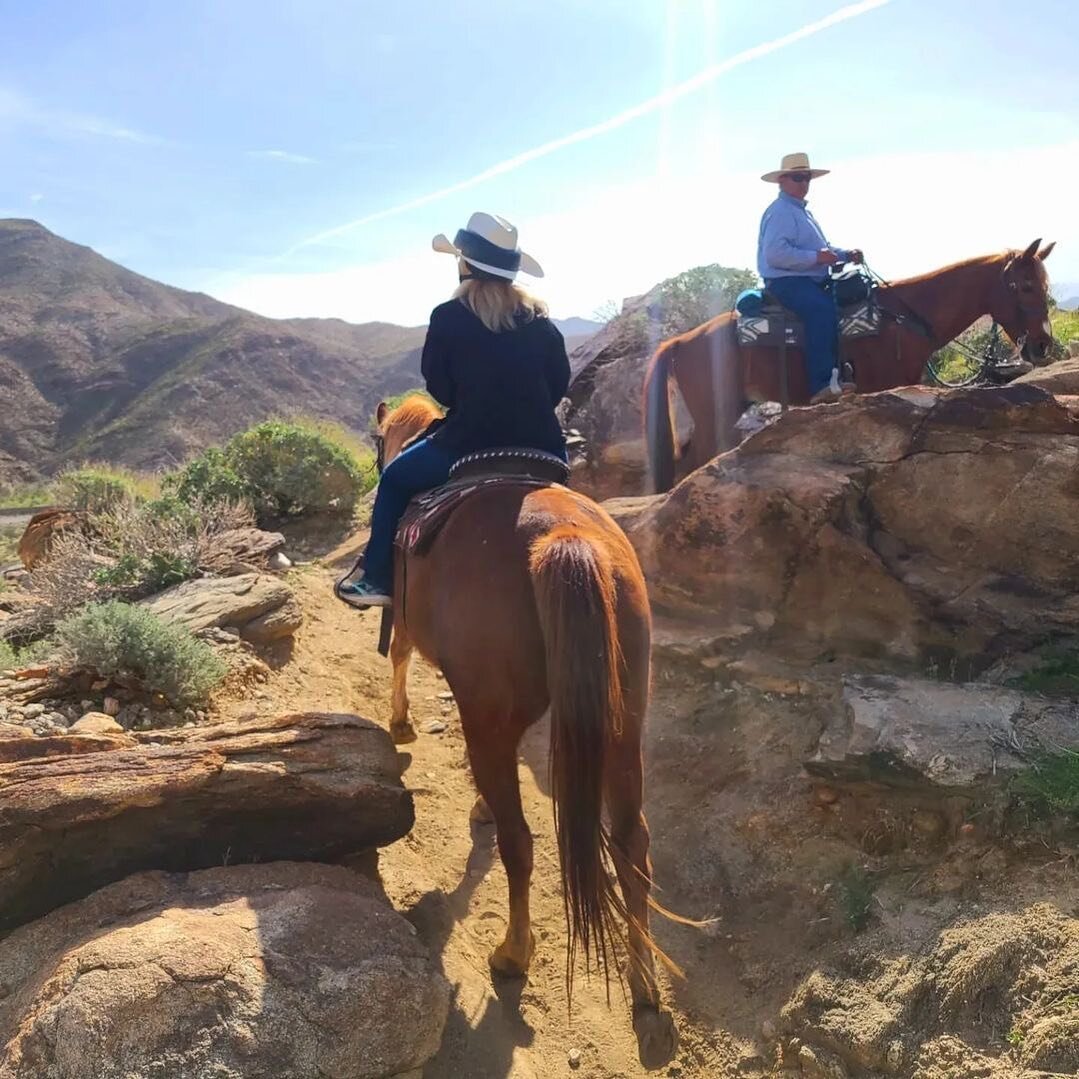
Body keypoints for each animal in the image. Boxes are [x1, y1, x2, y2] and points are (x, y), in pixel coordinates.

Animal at [371, 394, 673, 1061]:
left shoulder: (410, 628)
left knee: (520, 842)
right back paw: (644, 987)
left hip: (496, 718)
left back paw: (513, 954)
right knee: (632, 846)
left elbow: (399, 654)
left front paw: (401, 724)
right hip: (624, 725)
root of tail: (565, 538)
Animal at [643, 239, 1057, 489]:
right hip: (717, 412)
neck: (902, 316)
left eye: (1046, 286)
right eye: (1025, 286)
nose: (1041, 346)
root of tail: (680, 341)